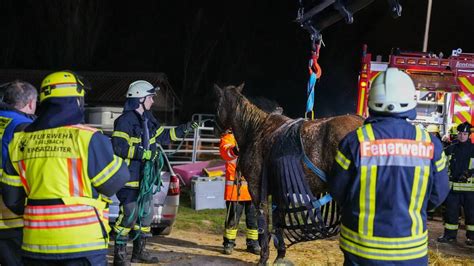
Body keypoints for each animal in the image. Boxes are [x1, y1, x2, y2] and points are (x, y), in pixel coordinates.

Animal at [215, 83, 362, 264]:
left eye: (218, 102)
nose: (217, 130)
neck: (256, 130)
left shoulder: (256, 190)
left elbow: (264, 224)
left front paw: (264, 258)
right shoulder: (280, 191)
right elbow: (279, 223)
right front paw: (280, 256)